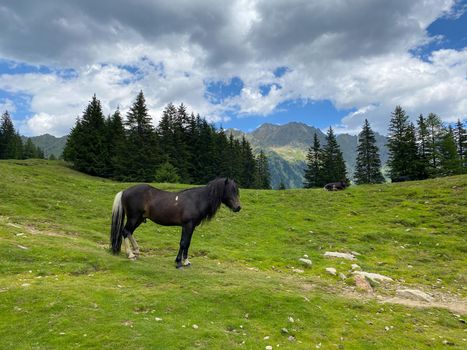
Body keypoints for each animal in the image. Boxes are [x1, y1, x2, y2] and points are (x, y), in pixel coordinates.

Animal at [109, 179, 241, 270]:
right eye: (230, 190)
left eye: (236, 191)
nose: (238, 207)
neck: (196, 200)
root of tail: (124, 191)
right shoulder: (187, 225)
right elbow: (183, 243)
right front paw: (178, 263)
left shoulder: (191, 227)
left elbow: (187, 243)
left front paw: (186, 262)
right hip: (133, 218)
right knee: (125, 231)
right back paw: (130, 254)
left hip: (139, 219)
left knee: (129, 232)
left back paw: (136, 251)